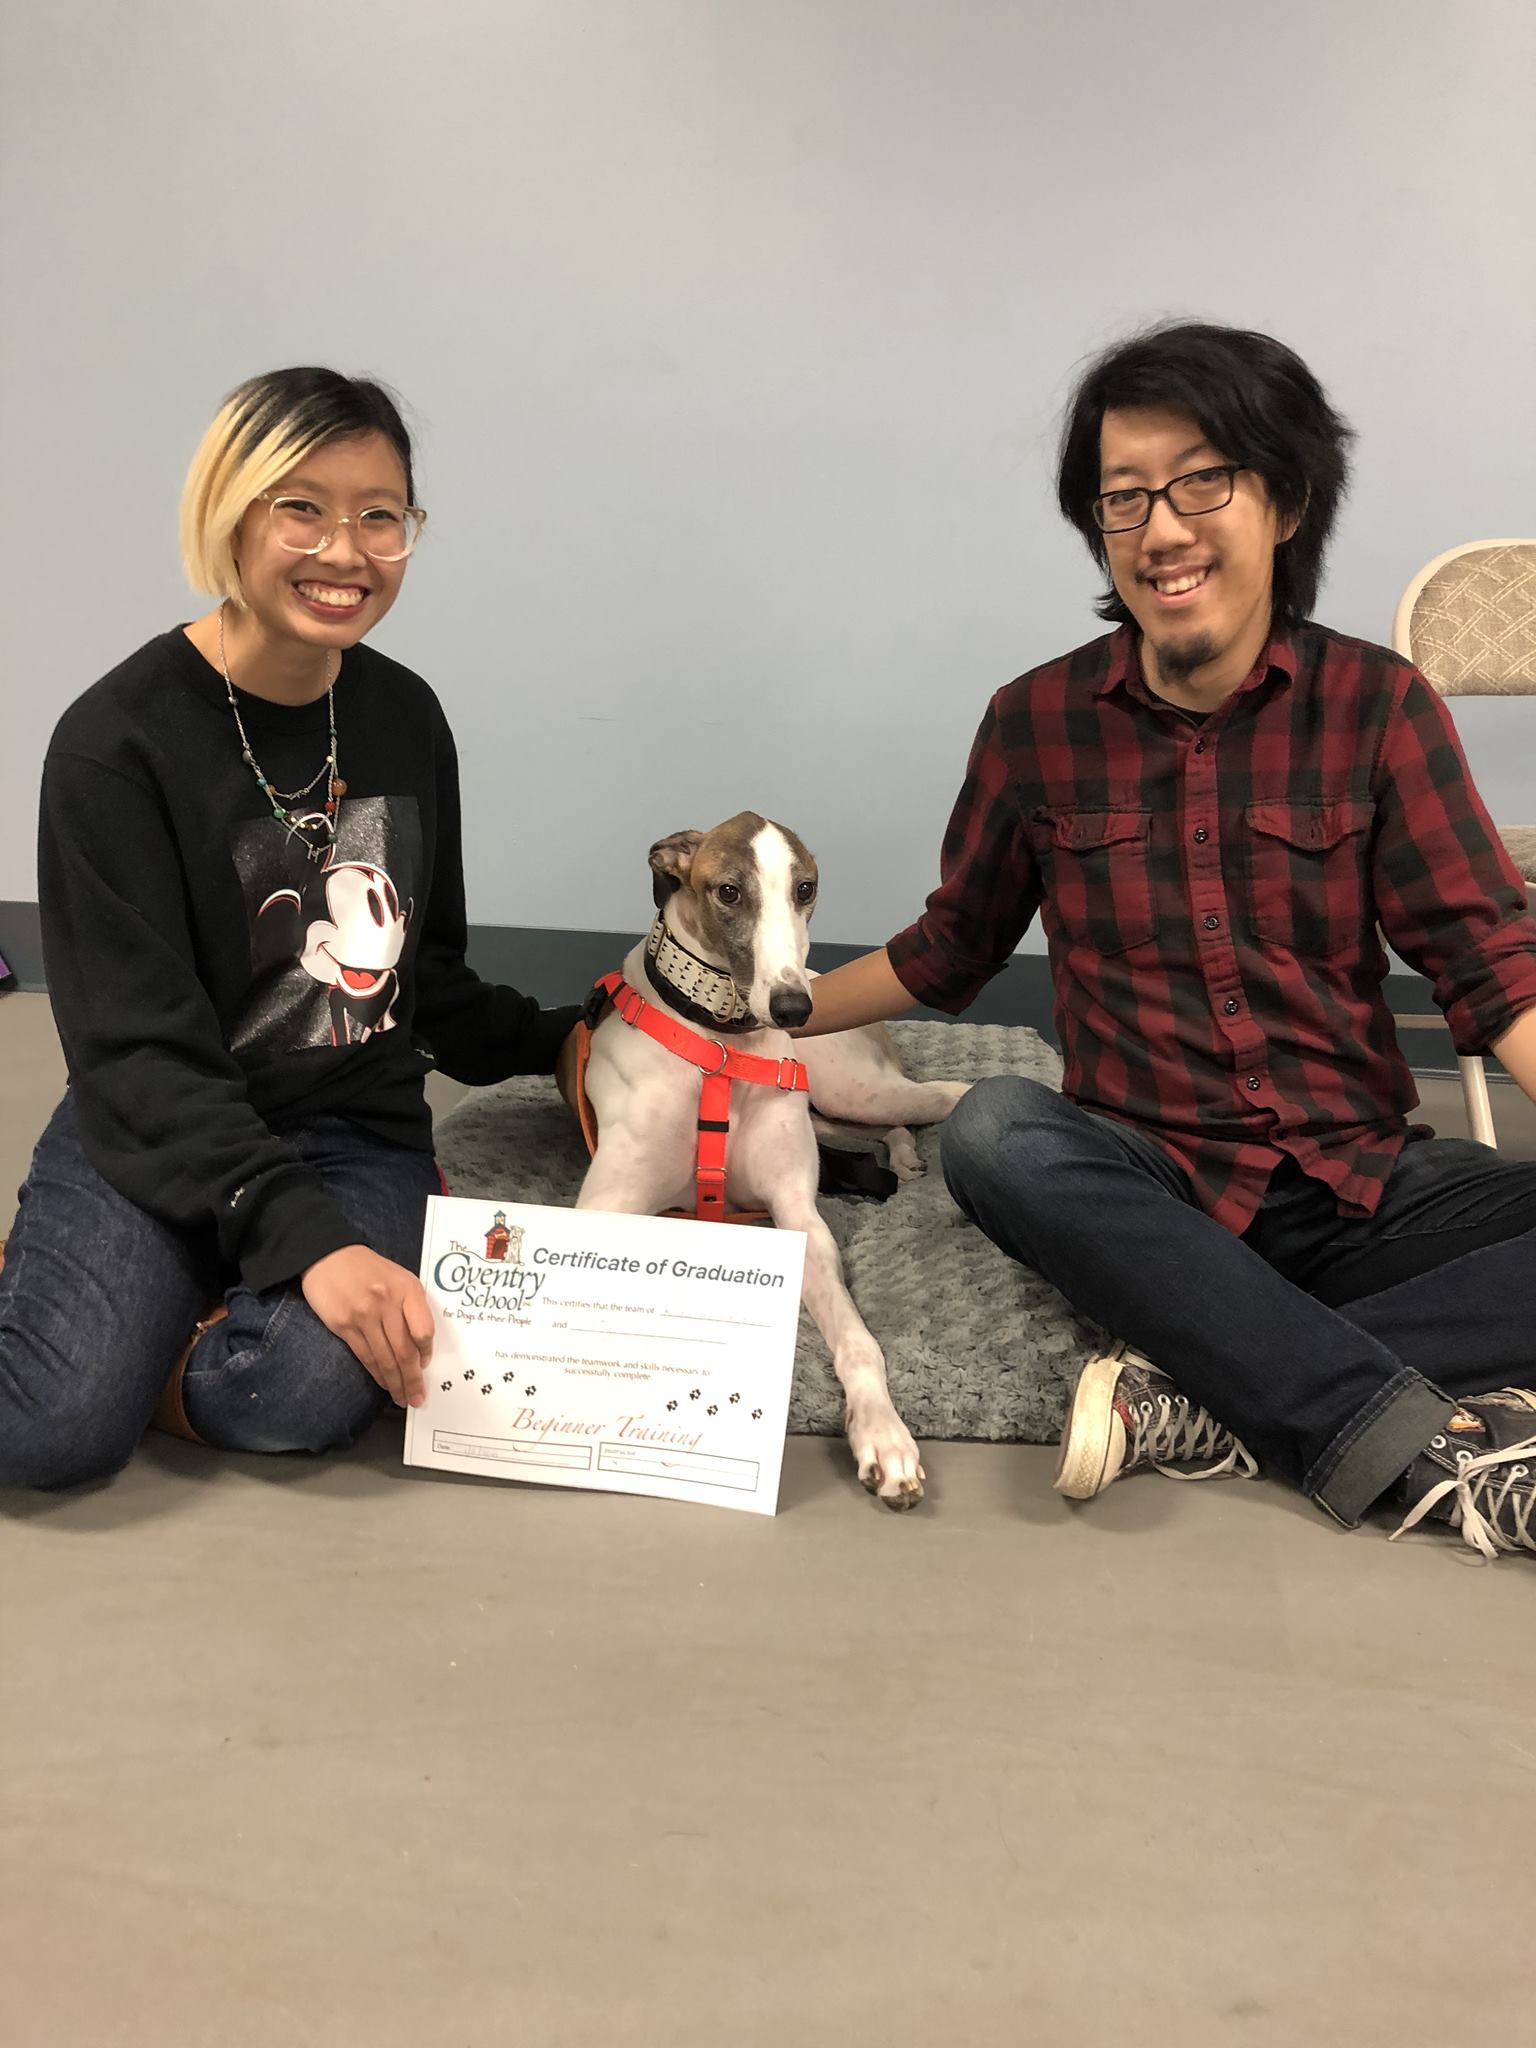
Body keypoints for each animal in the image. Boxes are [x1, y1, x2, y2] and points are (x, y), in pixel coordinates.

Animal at [577, 811, 974, 1507]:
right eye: (728, 892)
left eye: (806, 888)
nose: (792, 1009)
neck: (720, 1050)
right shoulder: (605, 1204)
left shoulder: (800, 1217)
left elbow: (859, 1340)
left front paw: (885, 1436)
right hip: (835, 1105)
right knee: (895, 1125)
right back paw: (905, 1157)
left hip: (851, 1087)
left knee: (950, 1095)